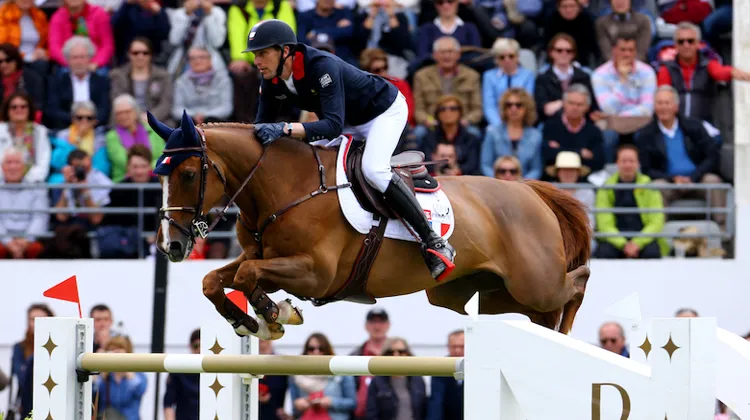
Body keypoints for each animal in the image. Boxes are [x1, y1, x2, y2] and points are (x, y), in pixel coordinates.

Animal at [150, 111, 592, 340]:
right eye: (160, 176)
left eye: (187, 174)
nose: (170, 245)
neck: (285, 186)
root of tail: (530, 191)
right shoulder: (262, 256)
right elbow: (216, 279)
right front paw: (250, 319)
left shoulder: (315, 273)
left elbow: (246, 276)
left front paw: (274, 312)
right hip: (484, 294)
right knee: (541, 312)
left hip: (533, 282)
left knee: (577, 281)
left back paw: (567, 331)